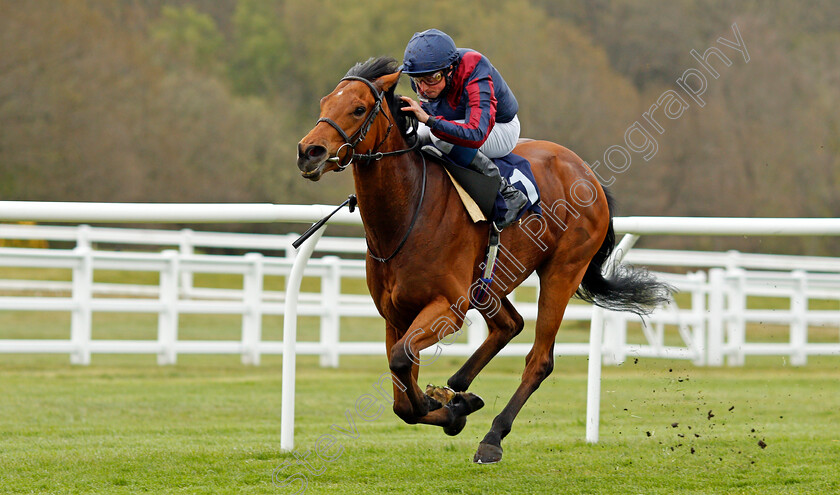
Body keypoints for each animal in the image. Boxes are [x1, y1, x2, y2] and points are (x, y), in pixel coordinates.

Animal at [296, 58, 668, 464]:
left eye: (359, 108)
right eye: (324, 102)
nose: (309, 151)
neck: (407, 213)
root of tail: (588, 174)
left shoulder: (447, 307)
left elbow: (401, 362)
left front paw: (447, 408)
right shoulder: (395, 314)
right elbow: (402, 398)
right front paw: (450, 406)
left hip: (562, 271)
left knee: (539, 359)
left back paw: (492, 436)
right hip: (487, 283)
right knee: (510, 324)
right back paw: (458, 387)